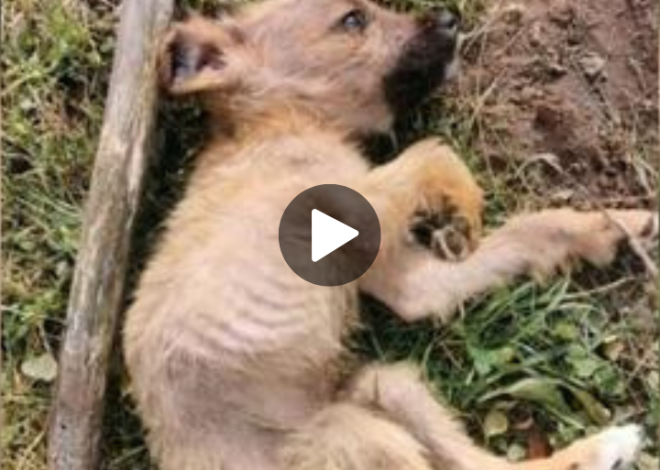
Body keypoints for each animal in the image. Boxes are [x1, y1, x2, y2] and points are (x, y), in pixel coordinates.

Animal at [124, 0, 656, 470]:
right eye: (353, 19)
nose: (449, 17)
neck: (281, 124)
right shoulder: (353, 205)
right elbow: (432, 154)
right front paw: (466, 202)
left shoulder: (404, 282)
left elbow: (523, 232)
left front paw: (612, 226)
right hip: (358, 438)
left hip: (388, 388)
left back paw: (607, 448)